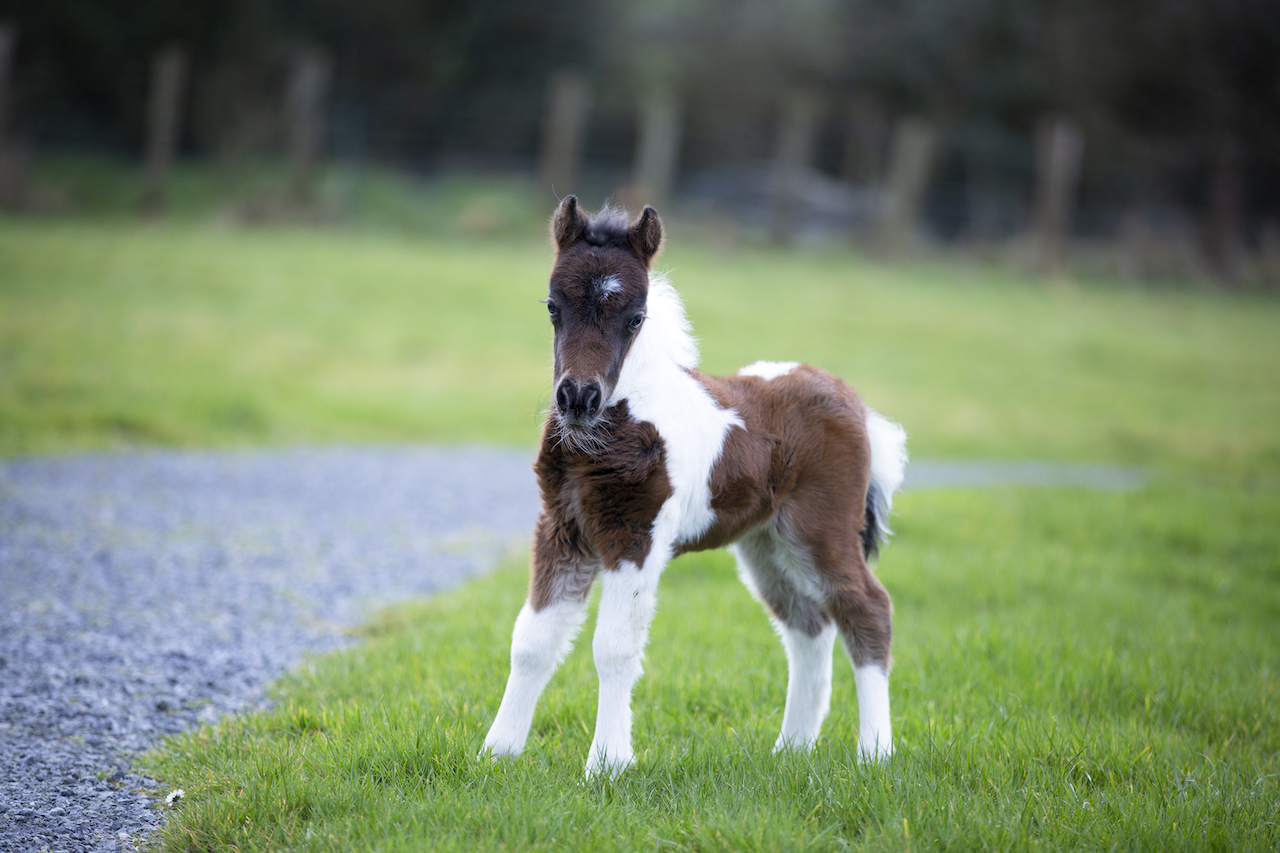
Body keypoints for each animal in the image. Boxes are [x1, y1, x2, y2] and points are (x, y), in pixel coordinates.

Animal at [481, 197, 908, 778]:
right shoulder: (563, 529)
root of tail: (853, 401)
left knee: (866, 608)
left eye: (635, 317)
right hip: (766, 545)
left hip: (822, 531)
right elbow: (531, 641)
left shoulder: (634, 534)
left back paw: (875, 753)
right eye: (552, 306)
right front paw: (496, 754)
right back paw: (791, 750)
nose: (577, 398)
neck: (624, 416)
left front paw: (607, 764)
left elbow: (613, 647)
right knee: (808, 625)